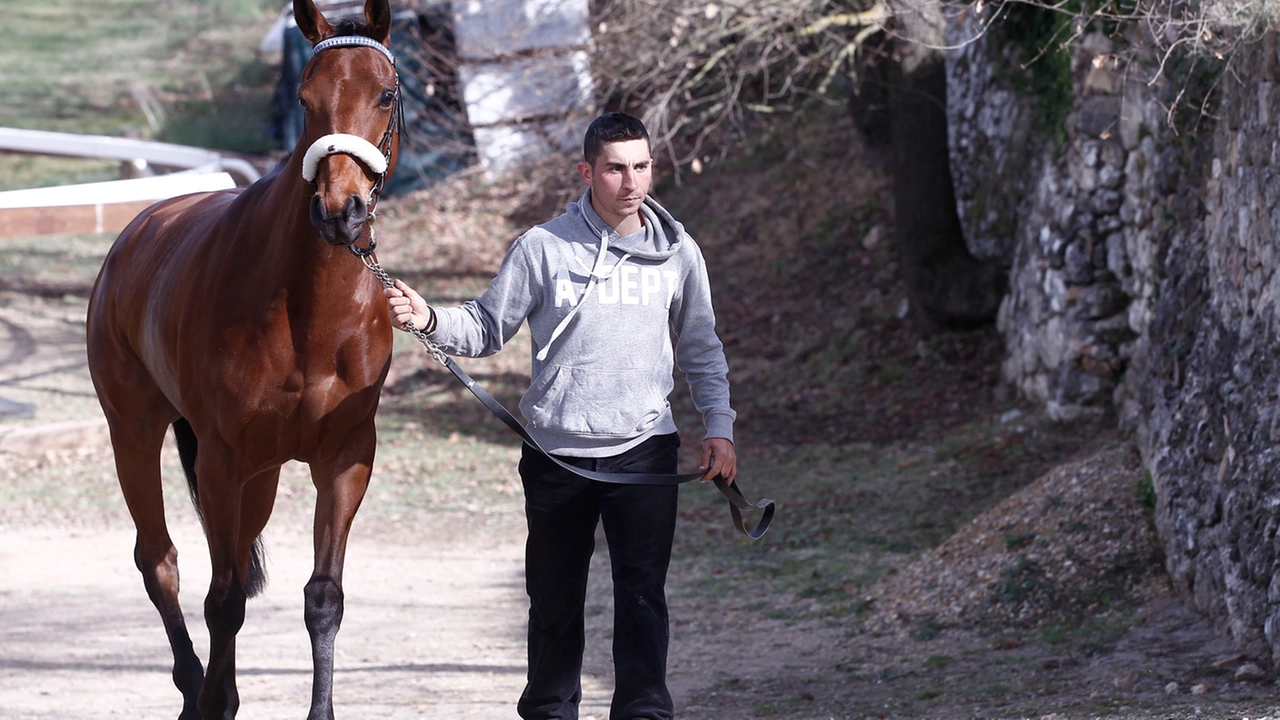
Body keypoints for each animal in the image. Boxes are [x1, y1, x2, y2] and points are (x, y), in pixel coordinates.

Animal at [86, 2, 399, 712]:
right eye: (305, 99)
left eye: (387, 95)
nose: (340, 212)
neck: (308, 313)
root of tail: (134, 235)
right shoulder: (221, 458)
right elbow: (223, 601)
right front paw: (211, 701)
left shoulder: (346, 457)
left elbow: (322, 598)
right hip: (136, 435)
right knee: (163, 563)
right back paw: (196, 687)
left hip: (262, 474)